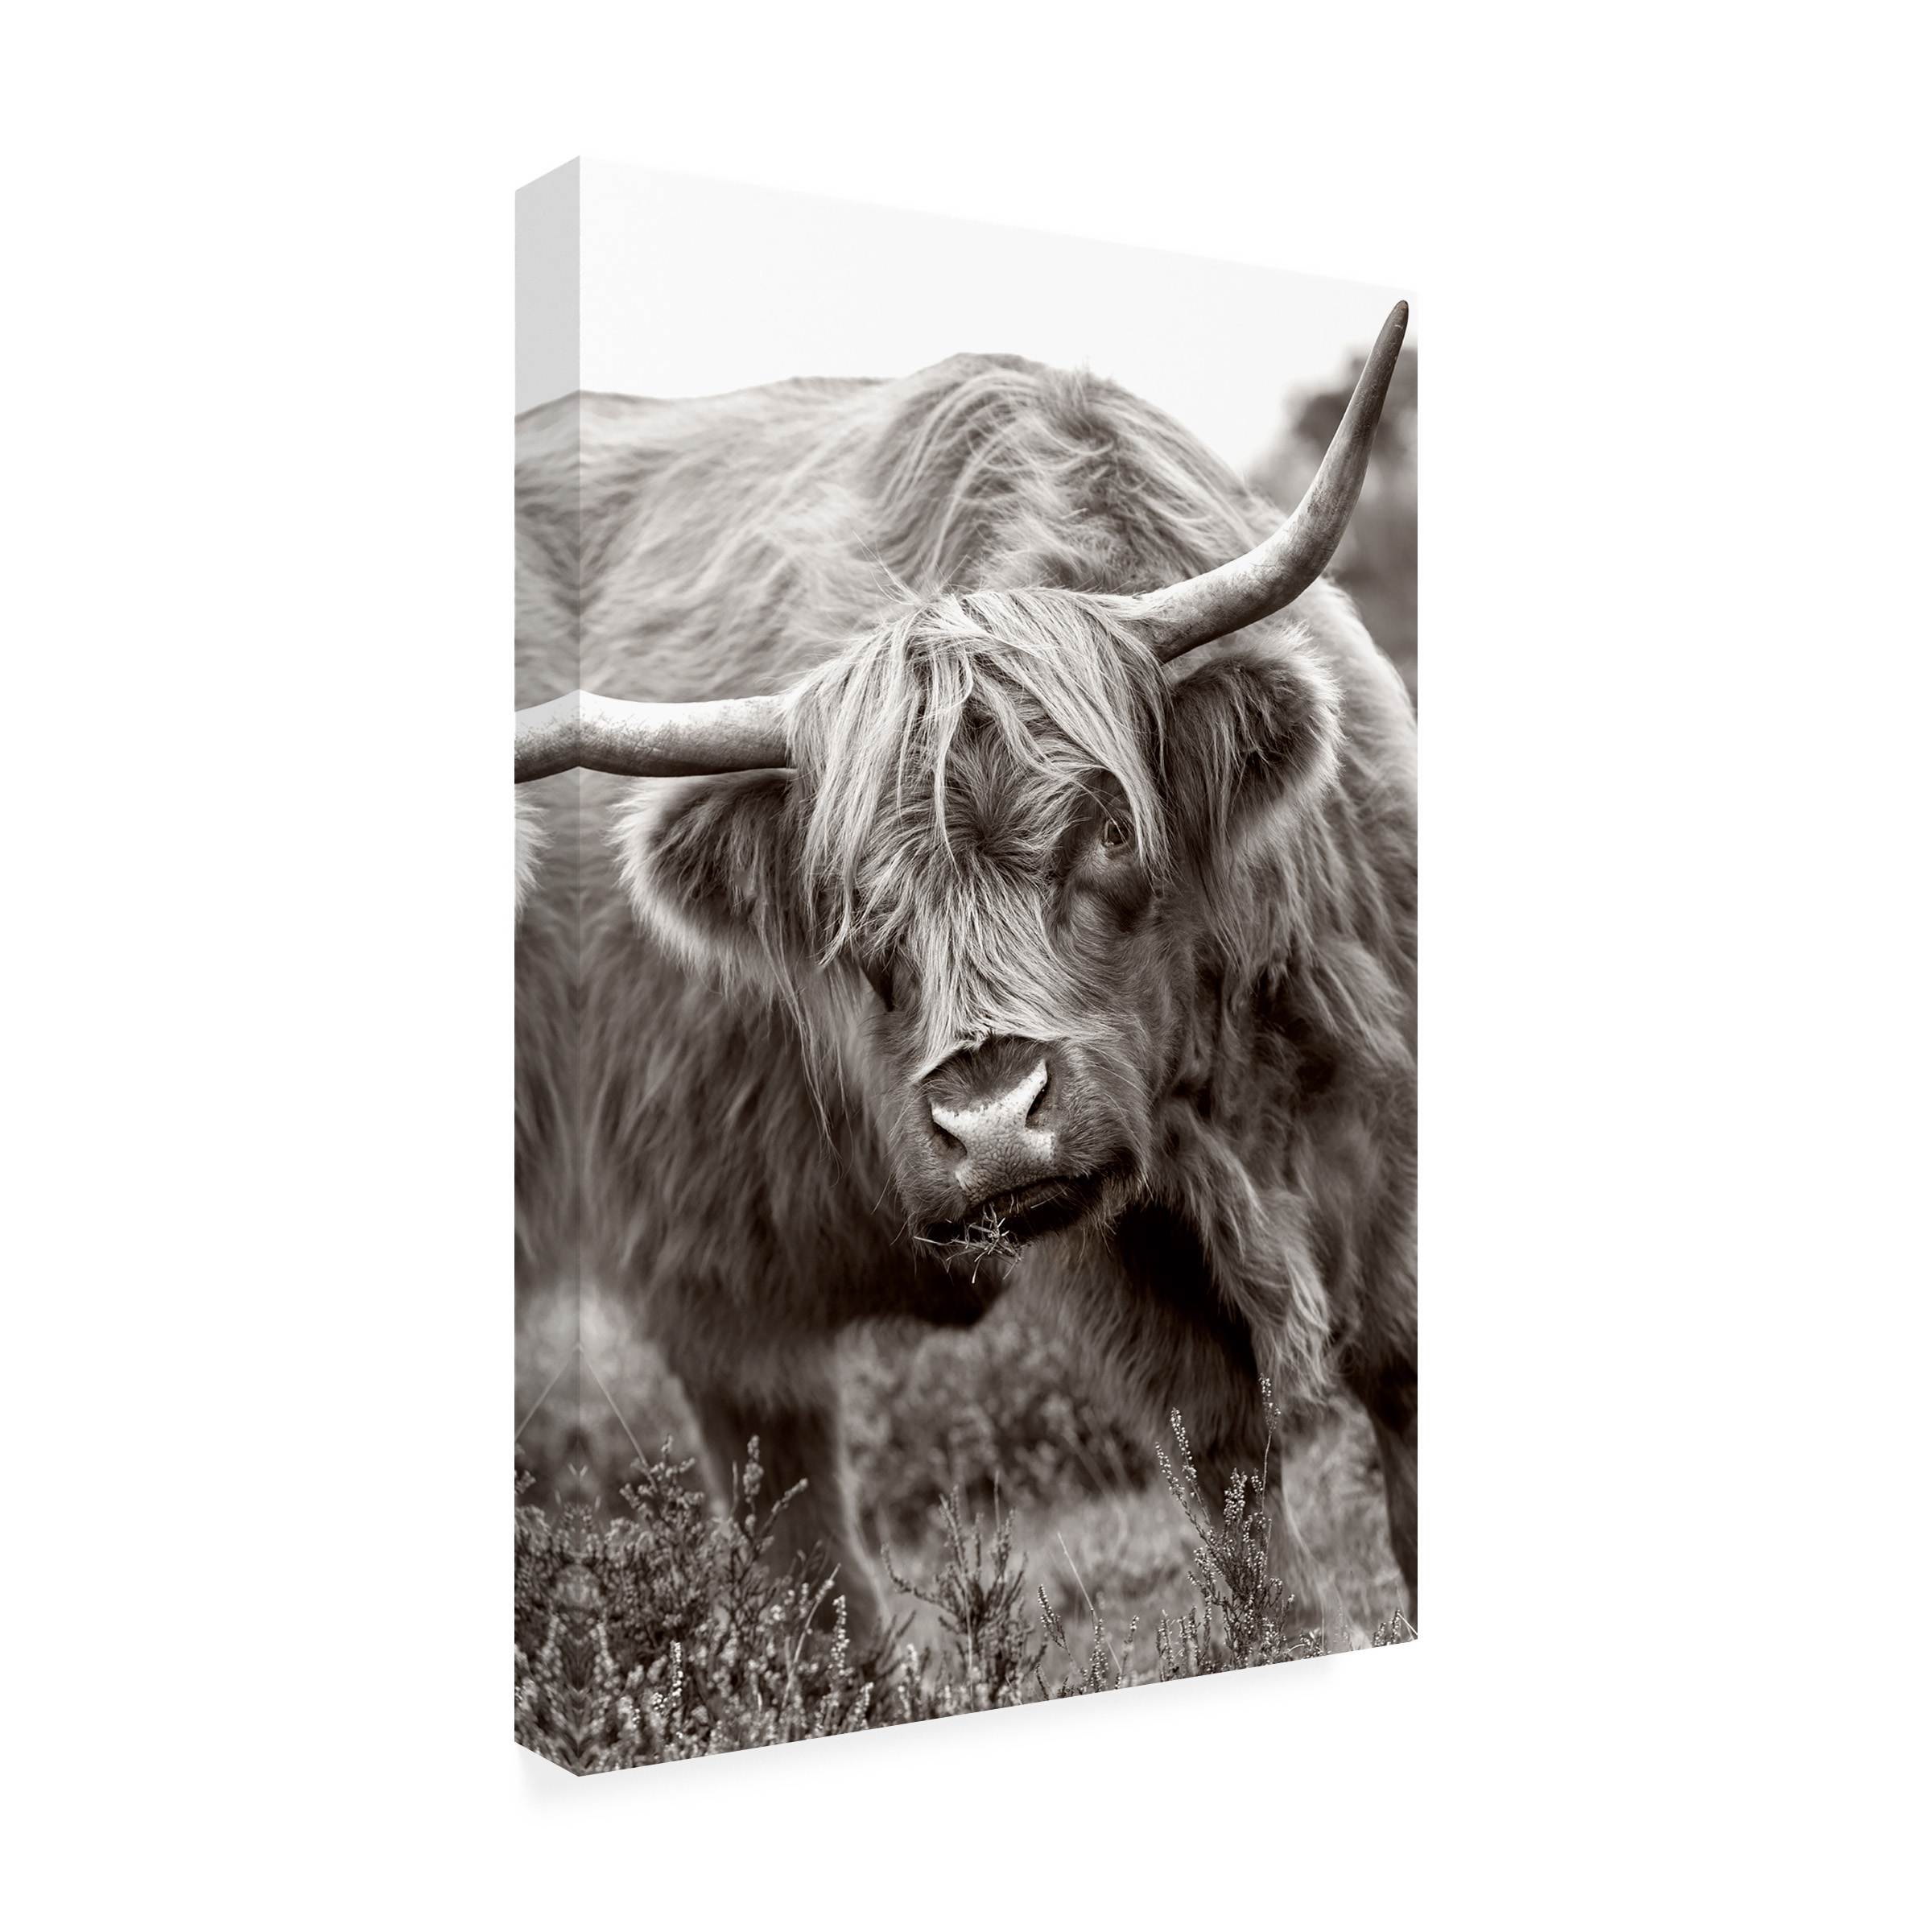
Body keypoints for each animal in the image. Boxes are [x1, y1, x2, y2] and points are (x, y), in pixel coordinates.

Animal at [514, 305, 1416, 1638]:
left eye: (1110, 829)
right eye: (852, 908)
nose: (992, 1121)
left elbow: (1403, 1390)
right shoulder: (1121, 1251)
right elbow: (1231, 1478)